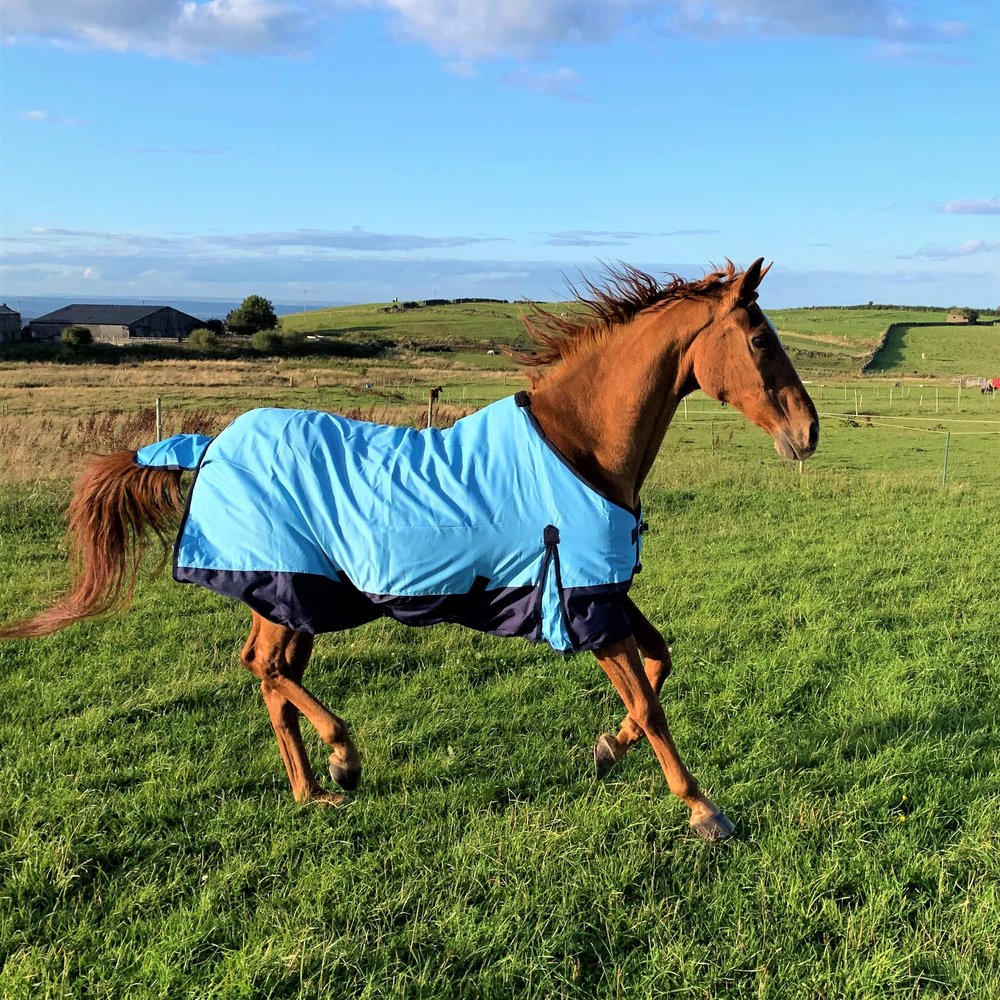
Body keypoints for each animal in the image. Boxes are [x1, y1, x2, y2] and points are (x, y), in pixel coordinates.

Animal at [0, 258, 818, 842]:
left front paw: (605, 750)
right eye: (759, 340)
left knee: (272, 676)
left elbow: (661, 663)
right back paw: (342, 760)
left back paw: (313, 791)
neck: (578, 446)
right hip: (285, 587)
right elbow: (649, 703)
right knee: (266, 669)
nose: (808, 433)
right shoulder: (588, 602)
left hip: (300, 600)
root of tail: (212, 444)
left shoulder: (601, 595)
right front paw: (703, 809)